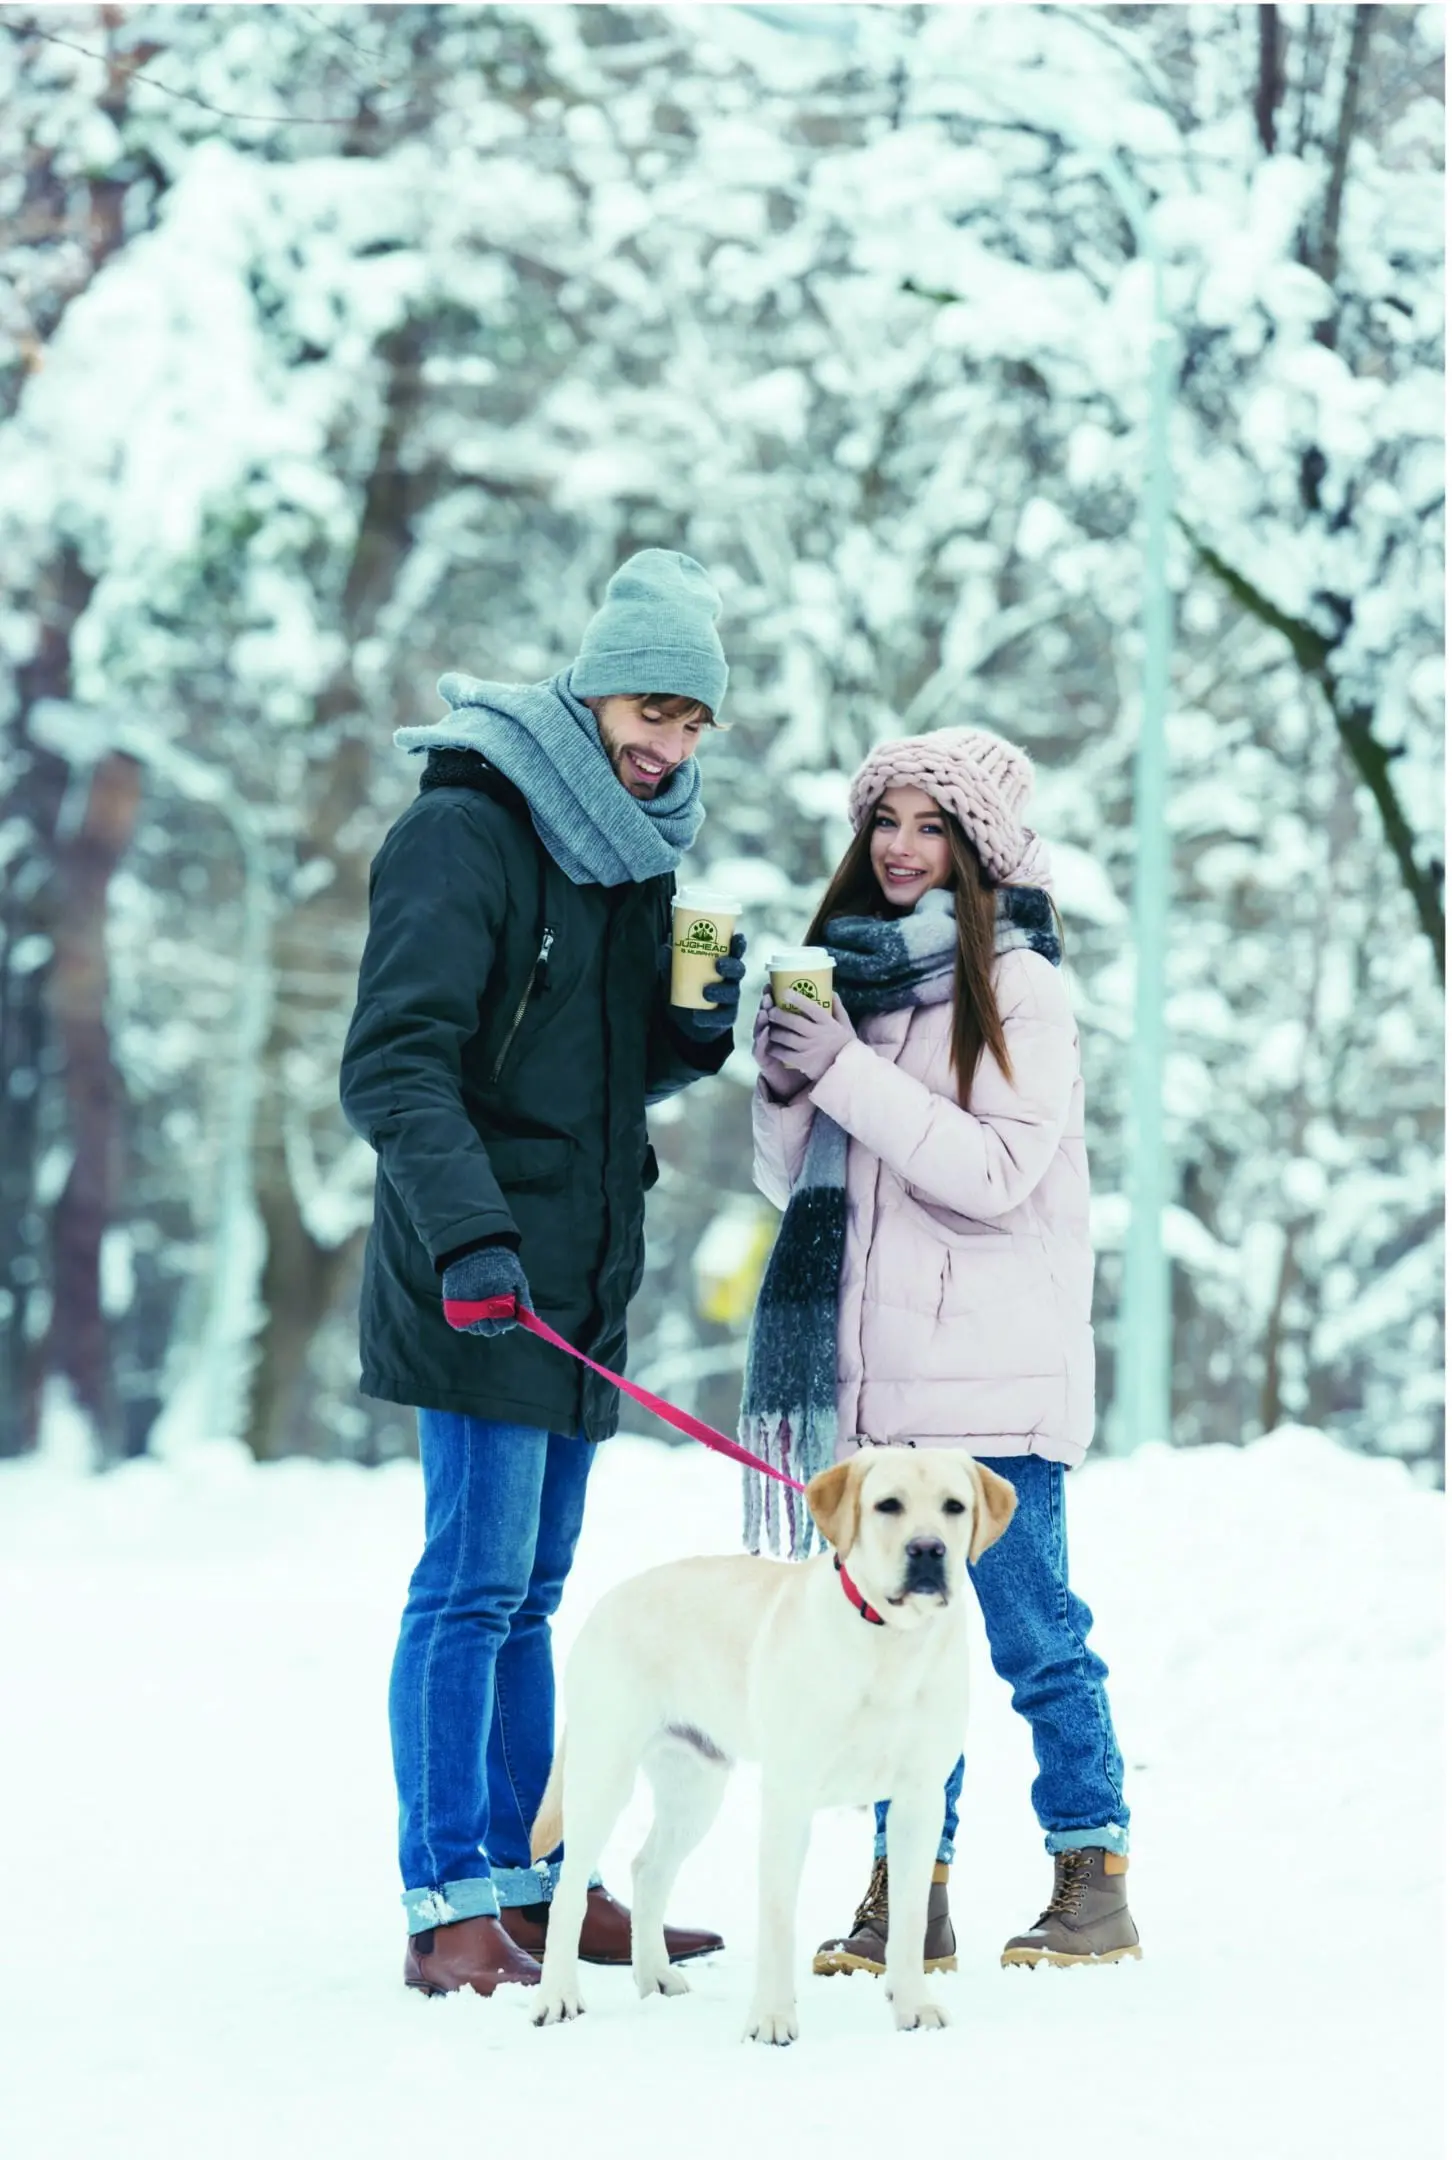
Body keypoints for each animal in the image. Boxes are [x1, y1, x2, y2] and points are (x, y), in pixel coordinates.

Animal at [527, 1451, 1015, 2039]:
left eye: (954, 1507)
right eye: (888, 1505)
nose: (928, 1549)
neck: (889, 1640)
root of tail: (608, 1600)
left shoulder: (920, 1800)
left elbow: (911, 1915)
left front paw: (914, 2006)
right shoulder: (790, 1797)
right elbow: (779, 1918)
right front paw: (772, 2018)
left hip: (695, 1789)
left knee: (648, 1869)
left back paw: (654, 1976)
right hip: (603, 1774)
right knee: (568, 1893)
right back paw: (557, 1996)